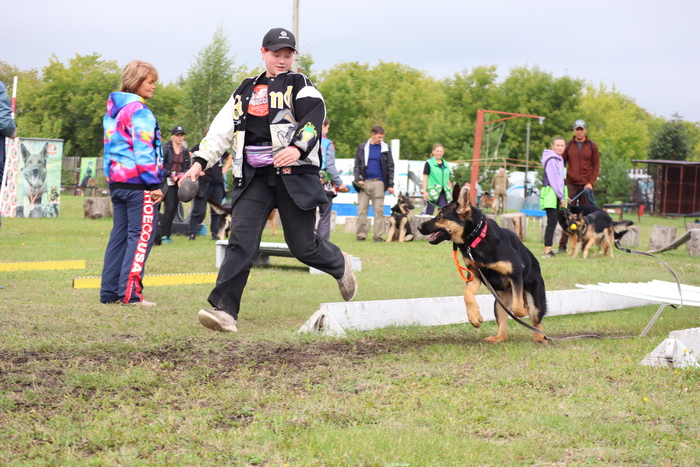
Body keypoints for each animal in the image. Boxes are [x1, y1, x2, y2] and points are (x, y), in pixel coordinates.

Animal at [419, 184, 547, 343]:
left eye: (440, 216)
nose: (418, 227)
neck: (476, 237)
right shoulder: (474, 274)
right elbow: (467, 295)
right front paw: (474, 317)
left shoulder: (515, 274)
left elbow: (517, 309)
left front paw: (524, 309)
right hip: (499, 304)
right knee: (504, 328)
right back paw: (498, 338)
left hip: (535, 302)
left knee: (536, 320)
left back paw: (540, 338)